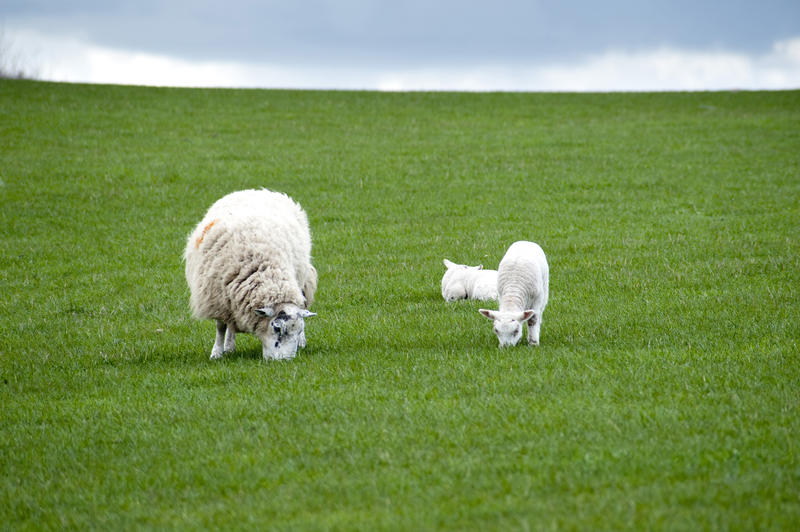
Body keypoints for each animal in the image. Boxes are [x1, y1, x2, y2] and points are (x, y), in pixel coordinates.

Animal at [183, 188, 318, 362]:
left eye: (299, 329)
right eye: (277, 328)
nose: (285, 361)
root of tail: (256, 190)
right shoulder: (217, 299)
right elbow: (220, 327)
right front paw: (217, 352)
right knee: (230, 322)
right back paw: (229, 346)